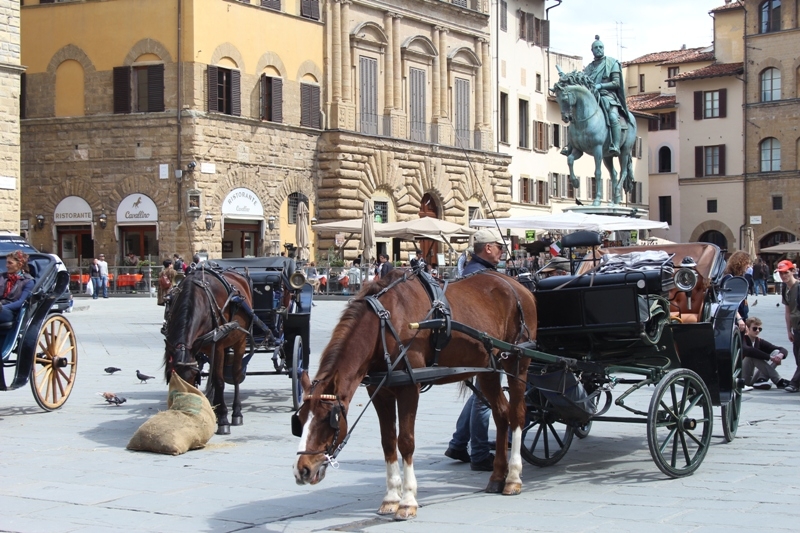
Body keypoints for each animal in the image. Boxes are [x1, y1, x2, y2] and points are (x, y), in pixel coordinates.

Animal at [161, 268, 252, 434]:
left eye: (192, 376)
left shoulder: (218, 346)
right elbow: (214, 377)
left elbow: (220, 381)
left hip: (240, 341)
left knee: (235, 375)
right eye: (171, 376)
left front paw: (223, 419)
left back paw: (236, 412)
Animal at [294, 268, 536, 516]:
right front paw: (391, 497)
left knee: (517, 414)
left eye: (328, 420)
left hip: (517, 362)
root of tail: (516, 283)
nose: (302, 470)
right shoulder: (379, 391)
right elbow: (388, 441)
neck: (385, 324)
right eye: (299, 421)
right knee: (501, 414)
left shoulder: (409, 388)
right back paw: (497, 477)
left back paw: (513, 477)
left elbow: (406, 441)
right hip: (488, 370)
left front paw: (408, 500)